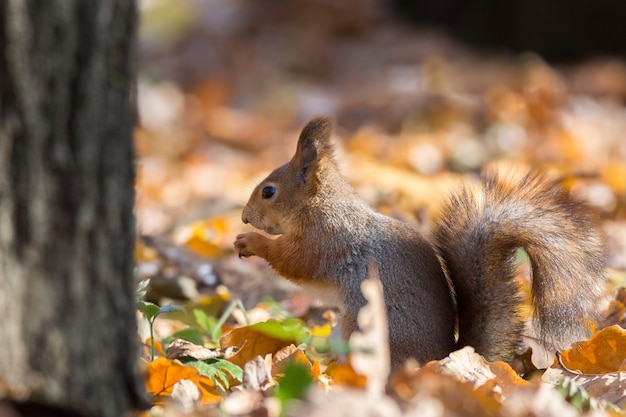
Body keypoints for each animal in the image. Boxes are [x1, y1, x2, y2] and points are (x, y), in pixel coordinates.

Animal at [232, 115, 604, 366]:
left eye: (268, 192)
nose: (245, 217)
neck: (321, 203)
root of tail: (440, 359)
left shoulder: (324, 237)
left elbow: (295, 262)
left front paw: (251, 241)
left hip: (369, 330)